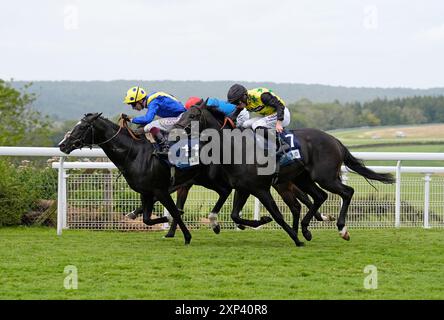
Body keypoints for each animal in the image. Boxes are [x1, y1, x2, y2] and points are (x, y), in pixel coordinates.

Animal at [174, 104, 396, 241]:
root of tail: (336, 141)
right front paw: (262, 221)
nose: (175, 129)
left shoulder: (257, 188)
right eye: (182, 114)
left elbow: (268, 213)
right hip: (303, 179)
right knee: (318, 197)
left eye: (193, 115)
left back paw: (342, 229)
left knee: (347, 192)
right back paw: (305, 229)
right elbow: (235, 215)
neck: (235, 147)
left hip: (324, 177)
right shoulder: (243, 187)